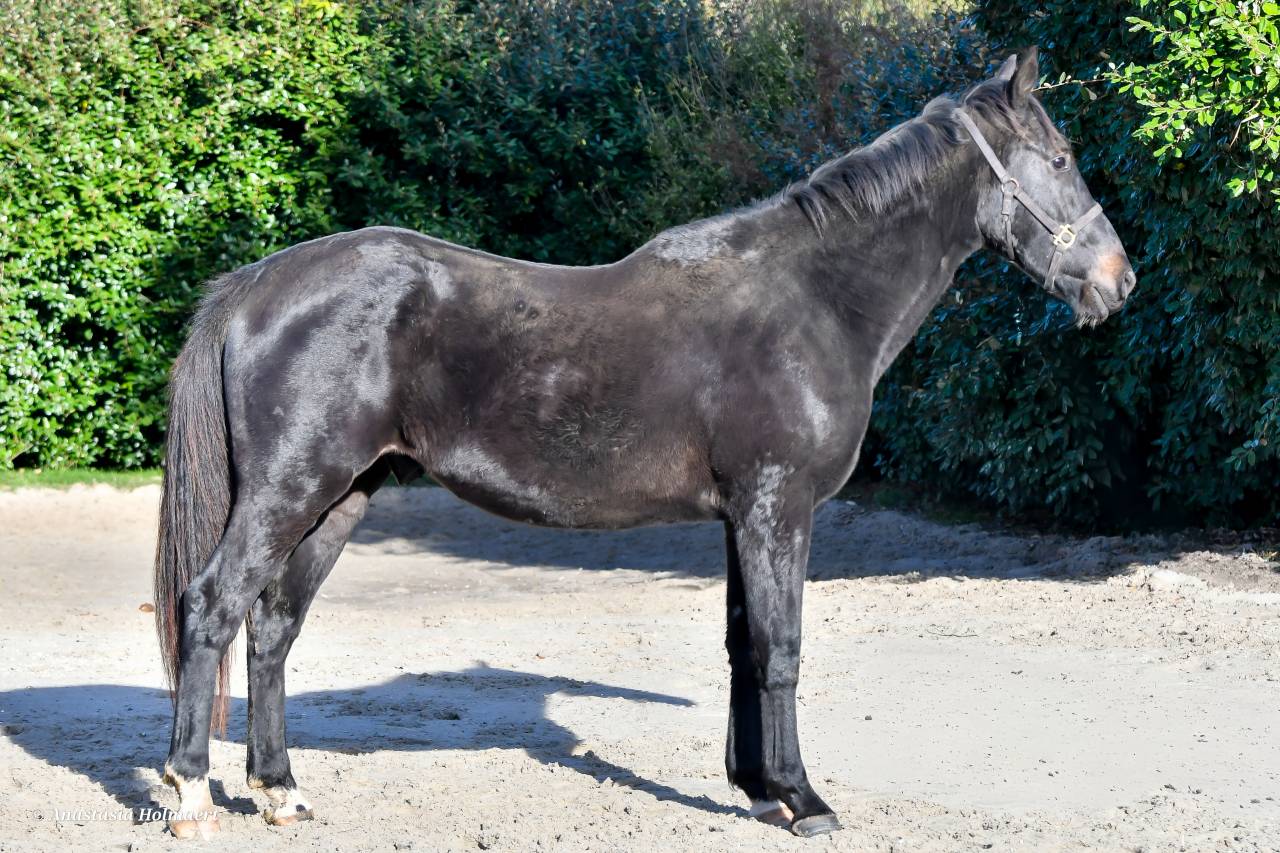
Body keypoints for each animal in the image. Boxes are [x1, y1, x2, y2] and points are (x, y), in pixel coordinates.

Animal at [154, 47, 1135, 839]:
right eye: (1060, 159)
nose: (1118, 280)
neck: (813, 300)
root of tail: (255, 284)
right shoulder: (778, 507)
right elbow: (782, 648)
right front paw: (804, 801)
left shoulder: (746, 514)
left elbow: (745, 644)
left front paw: (757, 788)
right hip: (288, 491)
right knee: (212, 606)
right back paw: (192, 790)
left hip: (342, 496)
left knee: (272, 626)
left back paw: (279, 789)